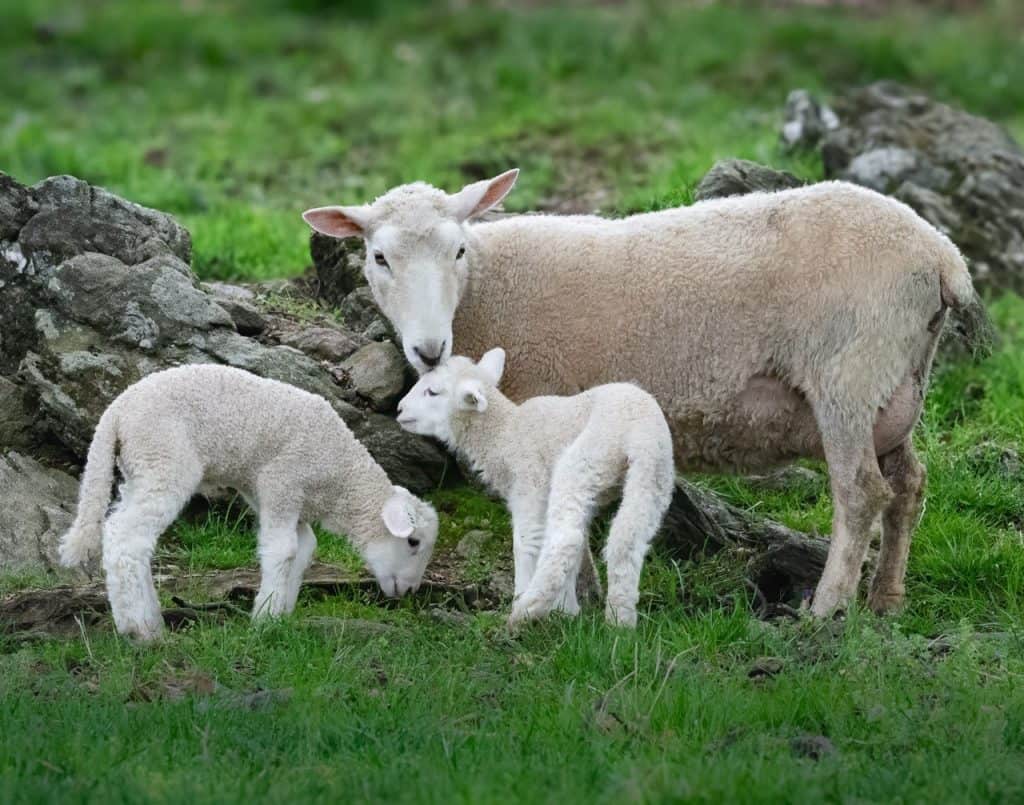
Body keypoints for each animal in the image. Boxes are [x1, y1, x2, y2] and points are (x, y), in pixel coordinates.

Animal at [58, 364, 439, 641]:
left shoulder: (281, 497)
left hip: (140, 469)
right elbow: (283, 551)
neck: (339, 478)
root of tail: (116, 411)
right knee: (125, 538)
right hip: (163, 460)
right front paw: (264, 619)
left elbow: (303, 549)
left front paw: (281, 612)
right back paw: (139, 630)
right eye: (413, 542)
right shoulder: (283, 482)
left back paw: (151, 618)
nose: (408, 591)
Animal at [396, 348, 674, 627]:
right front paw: (568, 611)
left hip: (586, 460)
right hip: (653, 475)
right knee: (626, 540)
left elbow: (526, 542)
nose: (399, 409)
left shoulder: (529, 484)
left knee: (566, 539)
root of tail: (637, 432)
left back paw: (527, 609)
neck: (504, 434)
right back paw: (620, 622)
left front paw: (529, 599)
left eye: (433, 392)